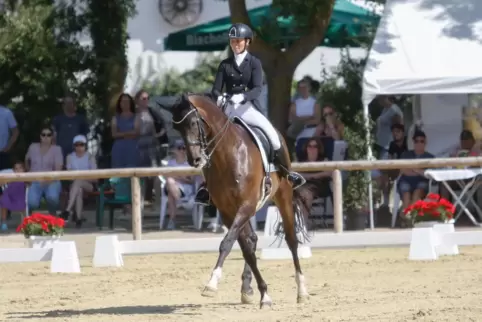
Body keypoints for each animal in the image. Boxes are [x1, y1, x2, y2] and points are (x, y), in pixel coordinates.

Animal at [169, 93, 310, 310]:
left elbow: (227, 243)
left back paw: (302, 291)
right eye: (177, 128)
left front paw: (212, 283)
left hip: (283, 196)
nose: (195, 160)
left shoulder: (246, 205)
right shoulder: (227, 211)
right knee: (251, 241)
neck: (227, 155)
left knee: (291, 240)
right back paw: (247, 289)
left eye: (193, 123)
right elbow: (245, 250)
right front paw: (263, 294)